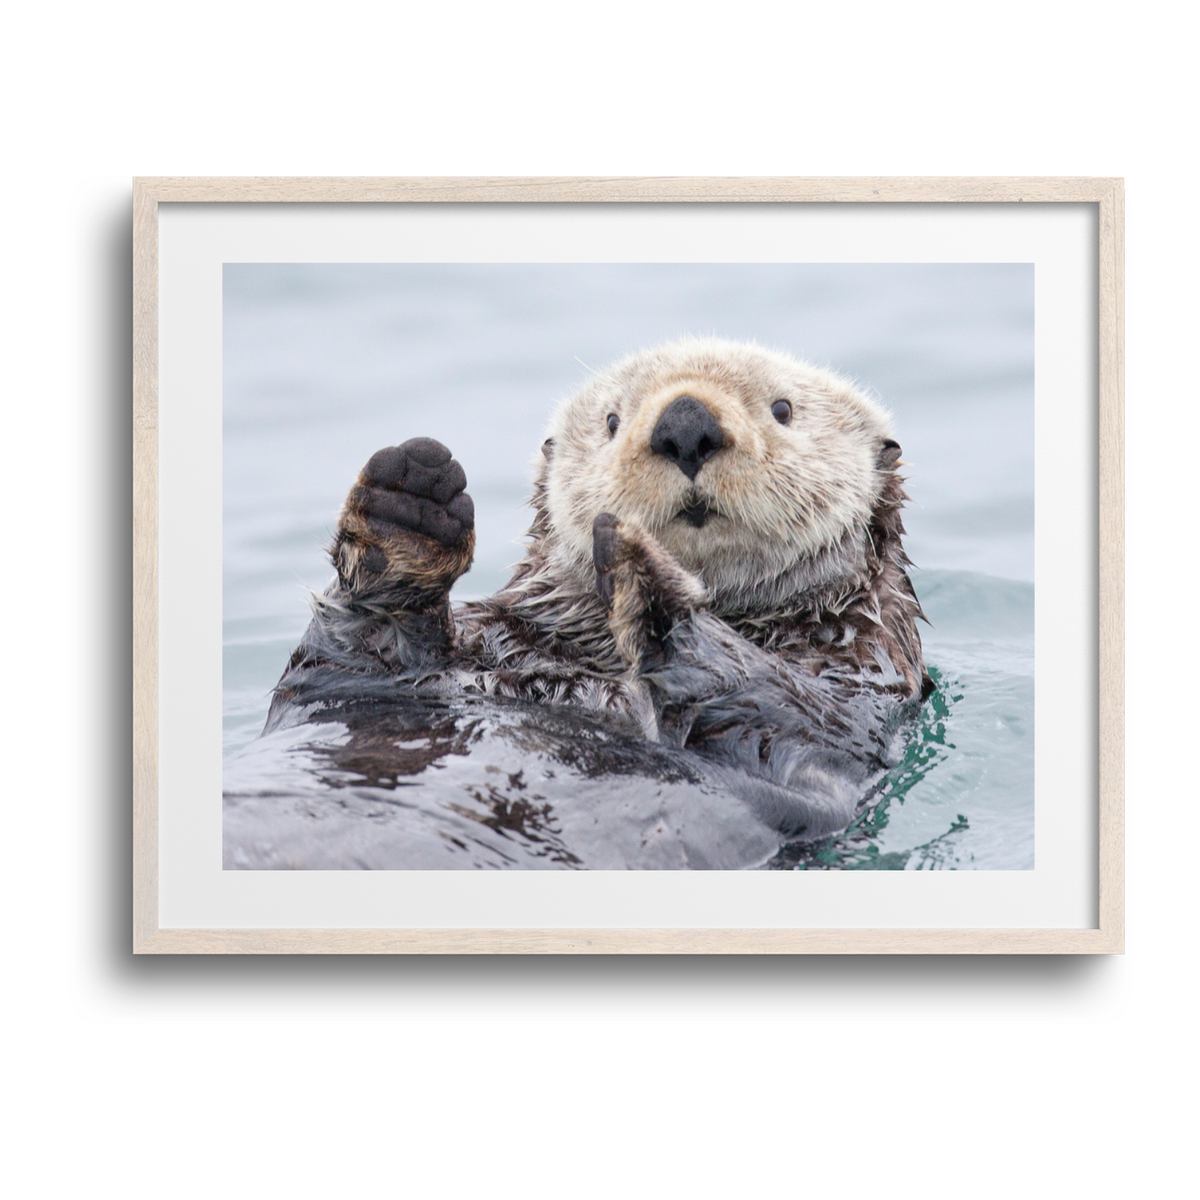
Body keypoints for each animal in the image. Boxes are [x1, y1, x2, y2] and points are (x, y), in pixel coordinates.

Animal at [263, 338, 932, 845]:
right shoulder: (384, 675)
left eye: (783, 409)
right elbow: (349, 659)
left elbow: (777, 699)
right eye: (611, 421)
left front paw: (644, 574)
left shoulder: (853, 695)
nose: (685, 423)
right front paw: (410, 501)